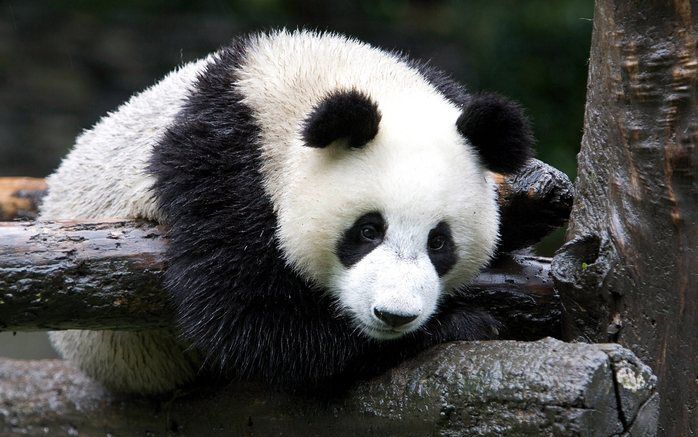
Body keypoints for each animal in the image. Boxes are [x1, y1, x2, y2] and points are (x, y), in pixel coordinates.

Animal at [40, 29, 532, 394]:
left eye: (439, 242)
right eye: (368, 231)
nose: (395, 316)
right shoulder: (221, 161)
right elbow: (245, 317)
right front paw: (464, 323)